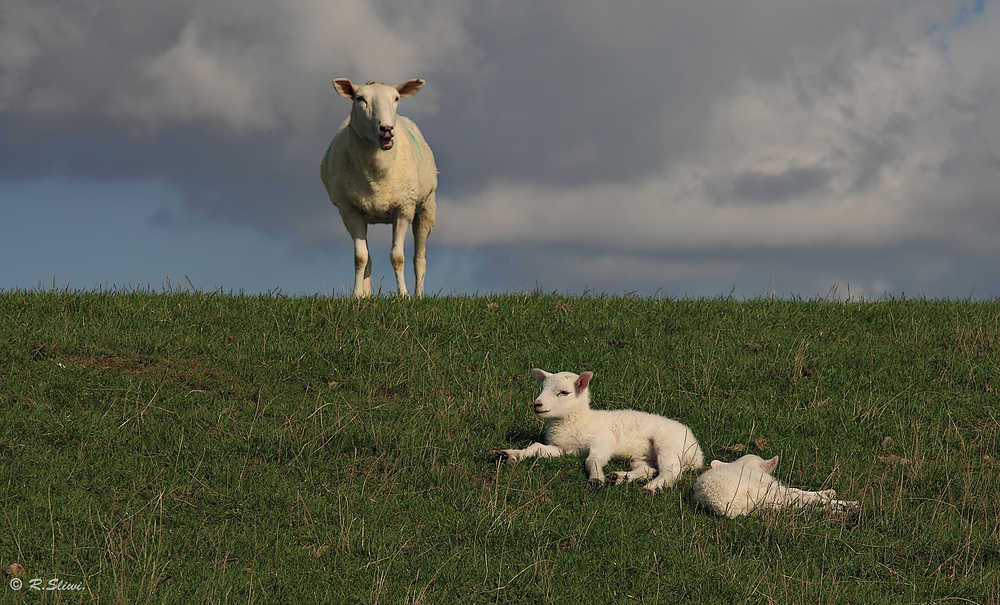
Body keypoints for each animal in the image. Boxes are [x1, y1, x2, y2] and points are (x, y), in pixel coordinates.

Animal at [320, 80, 438, 298]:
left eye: (396, 98)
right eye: (360, 99)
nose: (386, 128)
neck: (377, 176)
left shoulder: (404, 208)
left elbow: (397, 256)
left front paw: (404, 296)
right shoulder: (350, 210)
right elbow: (360, 257)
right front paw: (356, 296)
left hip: (426, 208)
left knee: (420, 257)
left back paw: (419, 295)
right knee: (368, 259)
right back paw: (366, 294)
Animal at [498, 368, 704, 490]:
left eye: (564, 392)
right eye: (542, 388)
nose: (537, 404)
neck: (576, 421)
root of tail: (697, 451)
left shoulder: (603, 439)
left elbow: (592, 460)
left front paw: (596, 478)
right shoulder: (563, 448)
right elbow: (537, 448)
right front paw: (510, 454)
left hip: (669, 444)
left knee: (672, 470)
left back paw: (651, 487)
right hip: (643, 455)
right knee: (646, 469)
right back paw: (618, 477)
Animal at [688, 450, 860, 516]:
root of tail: (715, 501)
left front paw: (827, 493)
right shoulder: (771, 485)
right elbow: (796, 491)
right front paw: (829, 495)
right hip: (762, 491)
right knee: (797, 500)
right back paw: (844, 506)